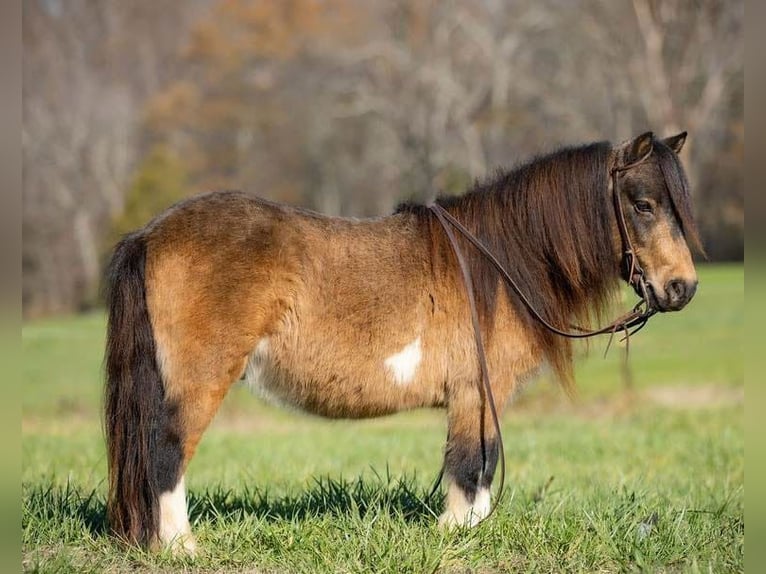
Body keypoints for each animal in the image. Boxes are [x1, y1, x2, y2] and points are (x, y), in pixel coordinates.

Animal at [105, 130, 704, 552]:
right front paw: (455, 536)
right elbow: (469, 465)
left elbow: (482, 465)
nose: (683, 288)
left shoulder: (480, 397)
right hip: (200, 381)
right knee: (166, 451)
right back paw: (181, 547)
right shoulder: (473, 393)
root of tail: (150, 233)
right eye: (643, 204)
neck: (499, 261)